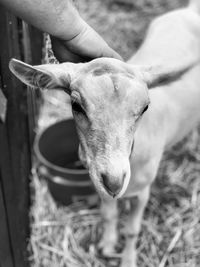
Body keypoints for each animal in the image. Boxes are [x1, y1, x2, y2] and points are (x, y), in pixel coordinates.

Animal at [9, 1, 200, 266]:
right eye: (76, 105)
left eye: (145, 107)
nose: (114, 181)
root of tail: (190, 10)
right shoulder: (103, 187)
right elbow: (109, 215)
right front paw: (107, 246)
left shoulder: (142, 189)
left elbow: (132, 230)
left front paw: (127, 260)